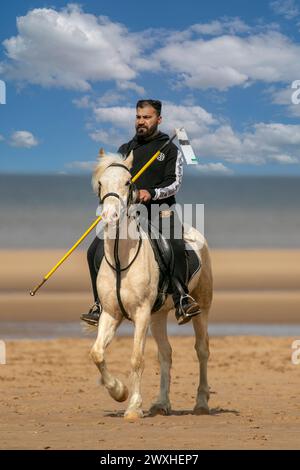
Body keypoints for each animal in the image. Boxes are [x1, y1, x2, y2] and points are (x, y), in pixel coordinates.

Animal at [89, 151, 213, 422]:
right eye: (100, 183)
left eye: (128, 182)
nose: (110, 216)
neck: (121, 259)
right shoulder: (111, 313)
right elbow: (97, 353)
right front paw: (119, 392)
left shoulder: (141, 313)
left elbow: (136, 358)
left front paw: (133, 407)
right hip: (158, 316)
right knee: (166, 353)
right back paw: (161, 404)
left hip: (202, 307)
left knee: (202, 350)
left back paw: (201, 403)